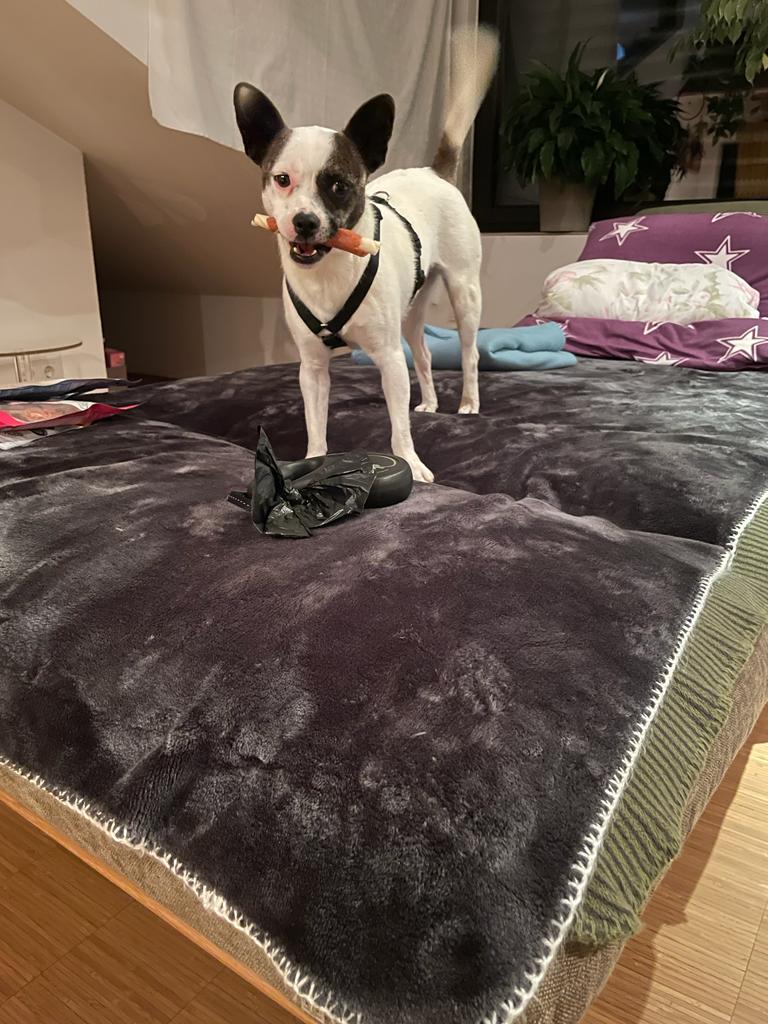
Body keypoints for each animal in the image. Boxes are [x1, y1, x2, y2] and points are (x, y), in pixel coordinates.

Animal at [234, 26, 498, 483]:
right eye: (282, 179)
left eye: (339, 185)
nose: (304, 221)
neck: (327, 274)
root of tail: (435, 172)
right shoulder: (313, 370)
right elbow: (317, 425)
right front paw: (315, 459)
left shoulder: (389, 359)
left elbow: (399, 426)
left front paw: (411, 462)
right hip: (411, 313)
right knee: (424, 354)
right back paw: (430, 402)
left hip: (465, 294)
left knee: (469, 353)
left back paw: (468, 402)